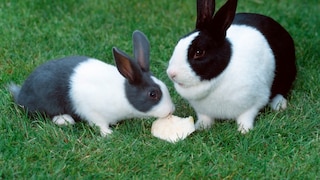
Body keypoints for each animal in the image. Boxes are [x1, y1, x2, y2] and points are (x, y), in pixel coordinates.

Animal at [9, 30, 175, 136]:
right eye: (152, 94)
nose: (171, 110)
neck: (123, 95)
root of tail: (20, 95)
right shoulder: (93, 112)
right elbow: (99, 124)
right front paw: (108, 133)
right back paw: (64, 120)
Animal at [166, 0, 296, 133]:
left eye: (199, 52)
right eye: (179, 41)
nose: (171, 73)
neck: (217, 80)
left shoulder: (254, 103)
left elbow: (246, 117)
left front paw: (244, 131)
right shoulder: (203, 112)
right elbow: (205, 118)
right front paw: (199, 127)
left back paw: (279, 105)